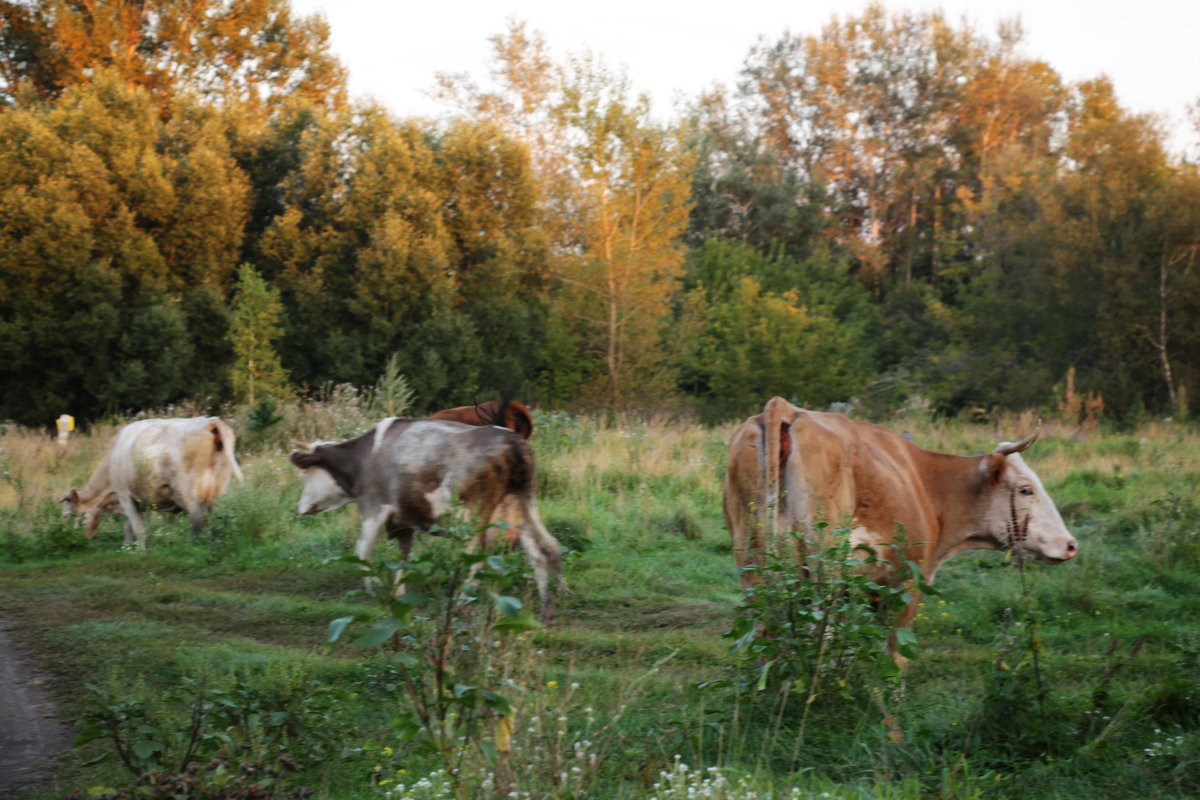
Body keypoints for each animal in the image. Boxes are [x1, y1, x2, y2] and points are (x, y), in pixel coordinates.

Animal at [59, 417, 244, 546]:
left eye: (67, 515)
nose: (71, 537)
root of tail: (210, 421)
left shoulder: (124, 494)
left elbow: (137, 528)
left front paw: (141, 551)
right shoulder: (137, 499)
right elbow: (129, 526)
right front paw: (126, 547)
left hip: (186, 489)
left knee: (198, 517)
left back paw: (193, 545)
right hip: (219, 487)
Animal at [288, 417, 559, 623]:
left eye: (305, 473)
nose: (301, 508)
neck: (363, 458)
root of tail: (513, 441)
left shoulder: (374, 507)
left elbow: (362, 554)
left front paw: (376, 591)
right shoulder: (404, 520)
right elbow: (403, 558)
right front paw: (398, 595)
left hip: (473, 516)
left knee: (476, 558)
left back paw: (461, 603)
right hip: (521, 503)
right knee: (543, 549)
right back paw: (547, 610)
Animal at [720, 398, 1080, 662]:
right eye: (1025, 489)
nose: (1070, 544)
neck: (926, 485)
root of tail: (783, 407)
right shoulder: (908, 582)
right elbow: (895, 653)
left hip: (753, 567)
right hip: (822, 577)